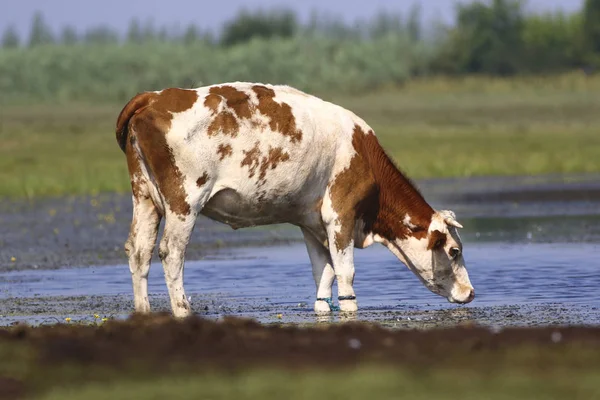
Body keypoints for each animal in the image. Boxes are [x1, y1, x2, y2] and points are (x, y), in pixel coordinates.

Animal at [116, 83, 474, 318]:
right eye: (454, 251)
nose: (471, 293)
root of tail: (155, 96)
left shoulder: (311, 222)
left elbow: (323, 272)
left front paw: (322, 308)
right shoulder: (340, 213)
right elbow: (345, 272)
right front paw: (350, 308)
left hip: (144, 195)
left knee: (140, 250)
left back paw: (143, 312)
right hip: (185, 200)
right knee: (171, 252)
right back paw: (182, 310)